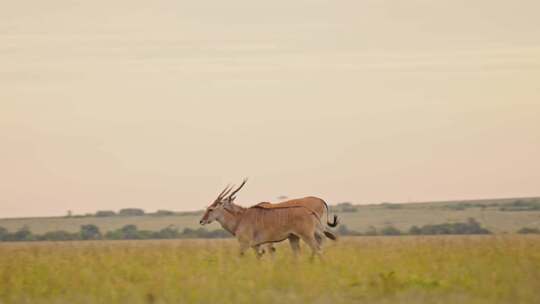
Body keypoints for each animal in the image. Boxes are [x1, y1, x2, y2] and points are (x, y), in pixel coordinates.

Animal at [199, 180, 338, 258]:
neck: (241, 217)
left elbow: (242, 257)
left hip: (307, 236)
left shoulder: (247, 244)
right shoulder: (257, 245)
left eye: (211, 209)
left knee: (317, 249)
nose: (201, 221)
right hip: (296, 237)